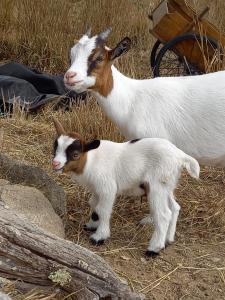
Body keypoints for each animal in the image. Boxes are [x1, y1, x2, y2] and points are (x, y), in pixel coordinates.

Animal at [51, 118, 200, 256]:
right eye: (55, 148)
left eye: (75, 154)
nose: (55, 164)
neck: (91, 161)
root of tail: (180, 156)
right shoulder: (97, 189)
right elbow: (93, 204)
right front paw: (92, 225)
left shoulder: (107, 188)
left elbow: (103, 210)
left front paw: (99, 237)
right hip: (167, 184)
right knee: (175, 207)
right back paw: (168, 240)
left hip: (156, 185)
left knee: (163, 214)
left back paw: (154, 248)